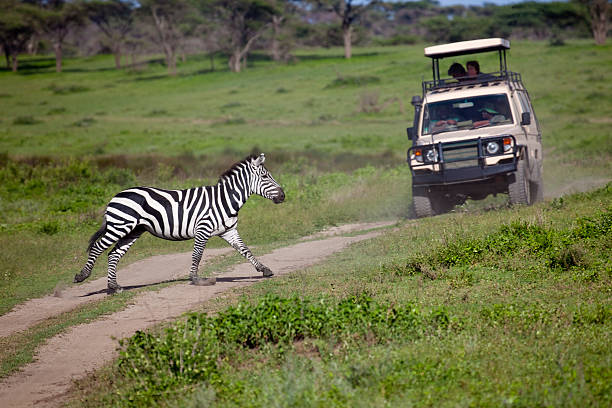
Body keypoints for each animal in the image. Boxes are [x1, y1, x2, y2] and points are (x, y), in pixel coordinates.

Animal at [74, 154, 286, 294]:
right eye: (265, 177)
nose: (283, 196)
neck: (224, 200)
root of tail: (115, 196)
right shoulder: (203, 229)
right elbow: (197, 255)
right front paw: (195, 279)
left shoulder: (229, 231)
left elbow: (245, 250)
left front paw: (264, 270)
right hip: (119, 226)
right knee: (98, 247)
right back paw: (82, 276)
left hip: (133, 231)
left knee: (113, 254)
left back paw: (114, 286)